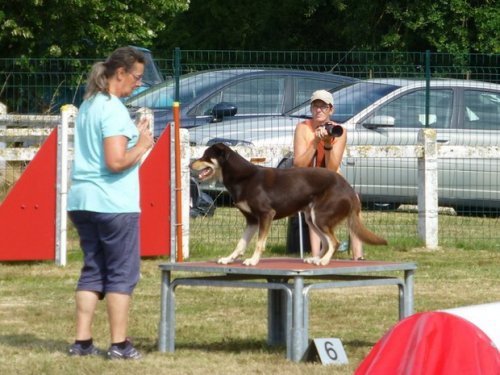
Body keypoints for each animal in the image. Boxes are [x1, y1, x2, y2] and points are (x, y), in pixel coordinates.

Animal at [191, 144, 386, 268]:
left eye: (206, 156)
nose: (190, 163)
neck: (242, 177)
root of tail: (349, 188)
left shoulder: (266, 215)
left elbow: (259, 243)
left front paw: (253, 261)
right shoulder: (252, 220)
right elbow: (240, 244)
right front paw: (228, 259)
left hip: (320, 217)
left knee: (334, 242)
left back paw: (323, 261)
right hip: (311, 218)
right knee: (325, 241)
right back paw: (316, 259)